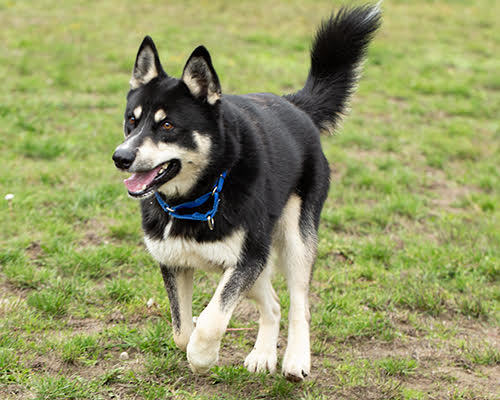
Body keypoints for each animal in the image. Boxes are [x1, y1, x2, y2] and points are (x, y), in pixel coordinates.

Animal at [112, 6, 378, 382]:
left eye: (167, 125)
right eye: (132, 121)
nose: (120, 157)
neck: (198, 196)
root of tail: (295, 105)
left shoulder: (246, 260)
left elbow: (211, 322)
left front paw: (203, 356)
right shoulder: (176, 262)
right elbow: (181, 331)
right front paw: (195, 339)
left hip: (294, 240)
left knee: (299, 304)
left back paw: (296, 360)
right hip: (258, 261)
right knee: (274, 305)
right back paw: (263, 355)